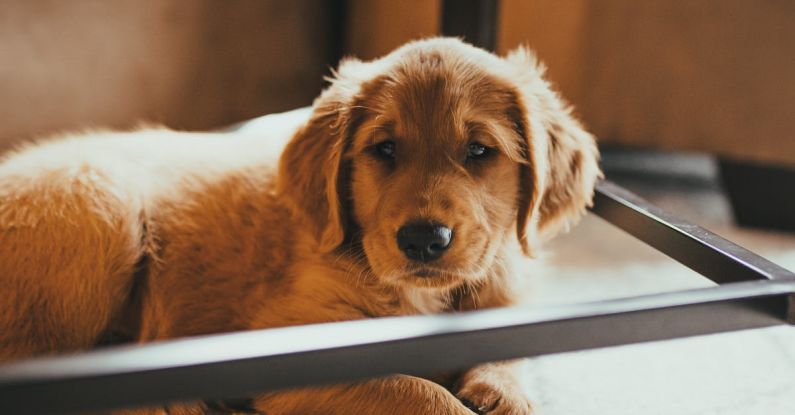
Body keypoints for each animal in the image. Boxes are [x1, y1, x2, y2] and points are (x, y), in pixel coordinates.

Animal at [0, 37, 596, 414]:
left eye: (479, 151)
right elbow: (416, 392)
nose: (424, 239)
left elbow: (511, 347)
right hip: (103, 203)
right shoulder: (296, 347)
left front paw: (503, 390)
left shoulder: (502, 298)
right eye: (384, 149)